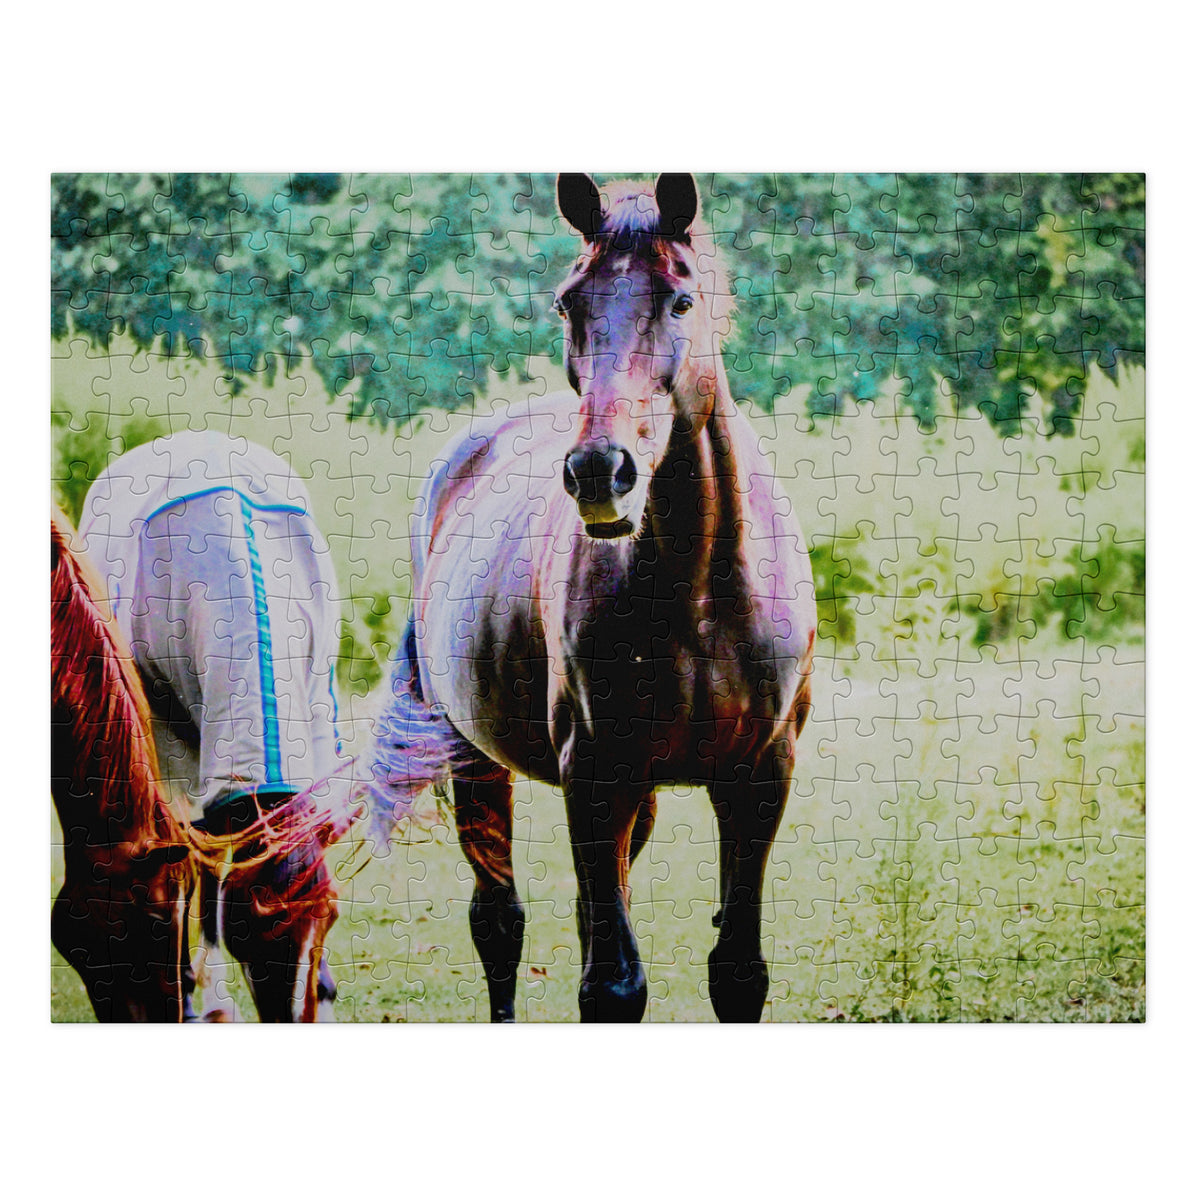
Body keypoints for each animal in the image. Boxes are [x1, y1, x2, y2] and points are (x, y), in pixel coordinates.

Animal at [76, 432, 359, 1022]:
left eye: (328, 918)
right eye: (249, 934)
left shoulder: (316, 713)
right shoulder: (172, 746)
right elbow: (197, 867)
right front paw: (206, 996)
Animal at [371, 173, 817, 1022]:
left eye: (680, 300)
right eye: (568, 302)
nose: (598, 472)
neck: (700, 590)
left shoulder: (759, 777)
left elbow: (736, 973)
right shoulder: (595, 775)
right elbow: (611, 985)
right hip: (475, 757)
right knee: (499, 922)